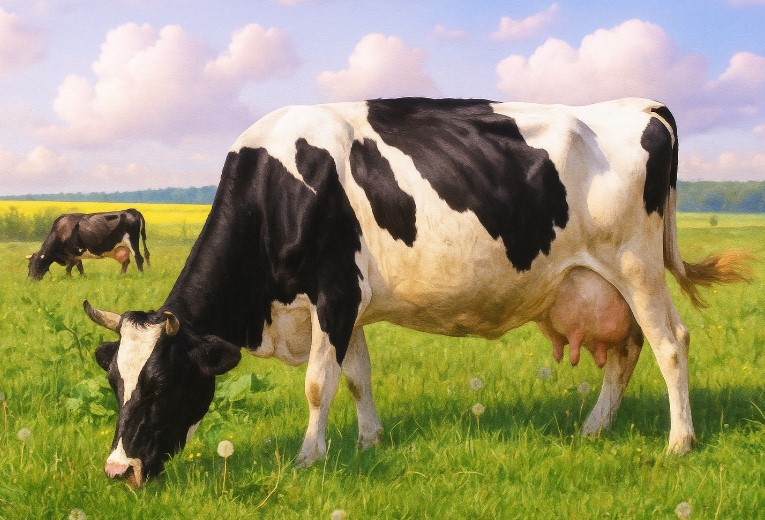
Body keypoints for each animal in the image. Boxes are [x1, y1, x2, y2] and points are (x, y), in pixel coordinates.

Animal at [82, 98, 749, 488]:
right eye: (115, 382)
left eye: (160, 384)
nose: (117, 470)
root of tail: (642, 105)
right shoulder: (346, 306)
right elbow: (357, 376)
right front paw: (369, 441)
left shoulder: (334, 293)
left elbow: (319, 383)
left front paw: (309, 457)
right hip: (602, 283)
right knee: (626, 352)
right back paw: (594, 428)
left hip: (637, 265)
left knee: (670, 343)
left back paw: (679, 443)